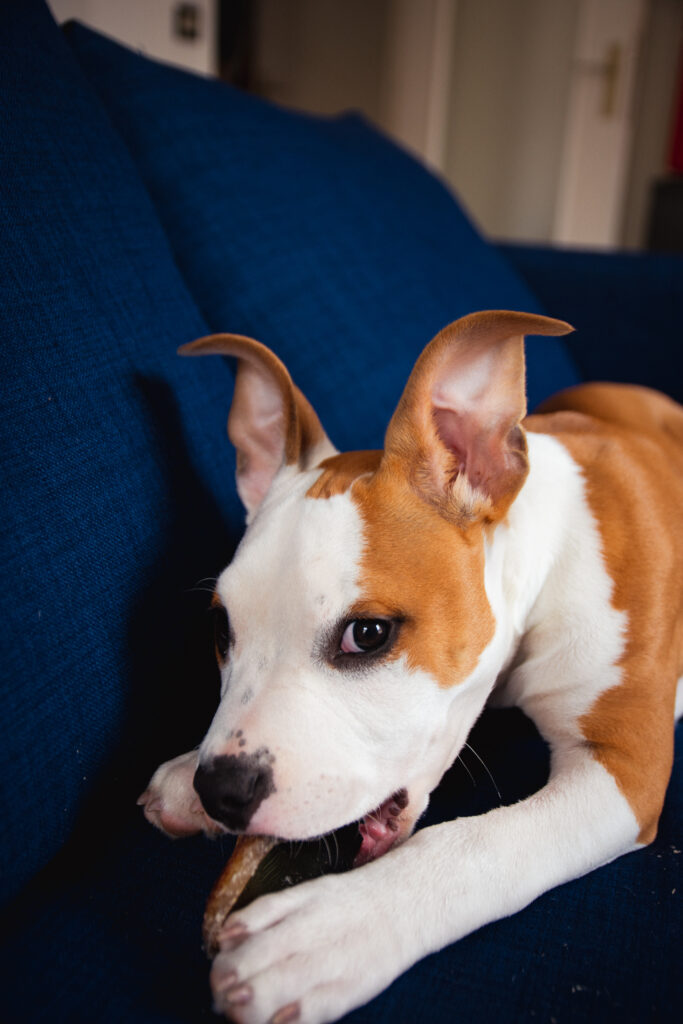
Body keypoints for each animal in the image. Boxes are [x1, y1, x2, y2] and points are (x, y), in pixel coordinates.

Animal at [139, 309, 683, 1024]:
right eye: (221, 630)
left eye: (367, 635)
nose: (222, 791)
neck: (546, 554)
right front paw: (183, 777)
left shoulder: (627, 765)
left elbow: (481, 843)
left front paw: (328, 934)